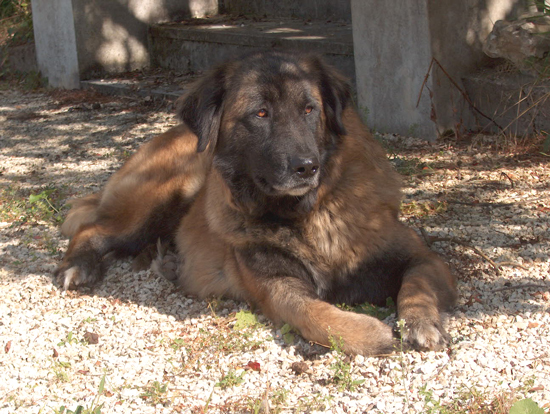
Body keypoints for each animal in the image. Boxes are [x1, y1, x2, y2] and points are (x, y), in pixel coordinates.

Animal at [58, 51, 460, 356]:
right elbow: (315, 314)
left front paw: (421, 322)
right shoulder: (276, 286)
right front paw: (370, 334)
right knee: (92, 229)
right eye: (261, 114)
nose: (306, 167)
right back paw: (78, 266)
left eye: (309, 110)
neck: (308, 214)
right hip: (165, 192)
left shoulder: (421, 256)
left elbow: (417, 285)